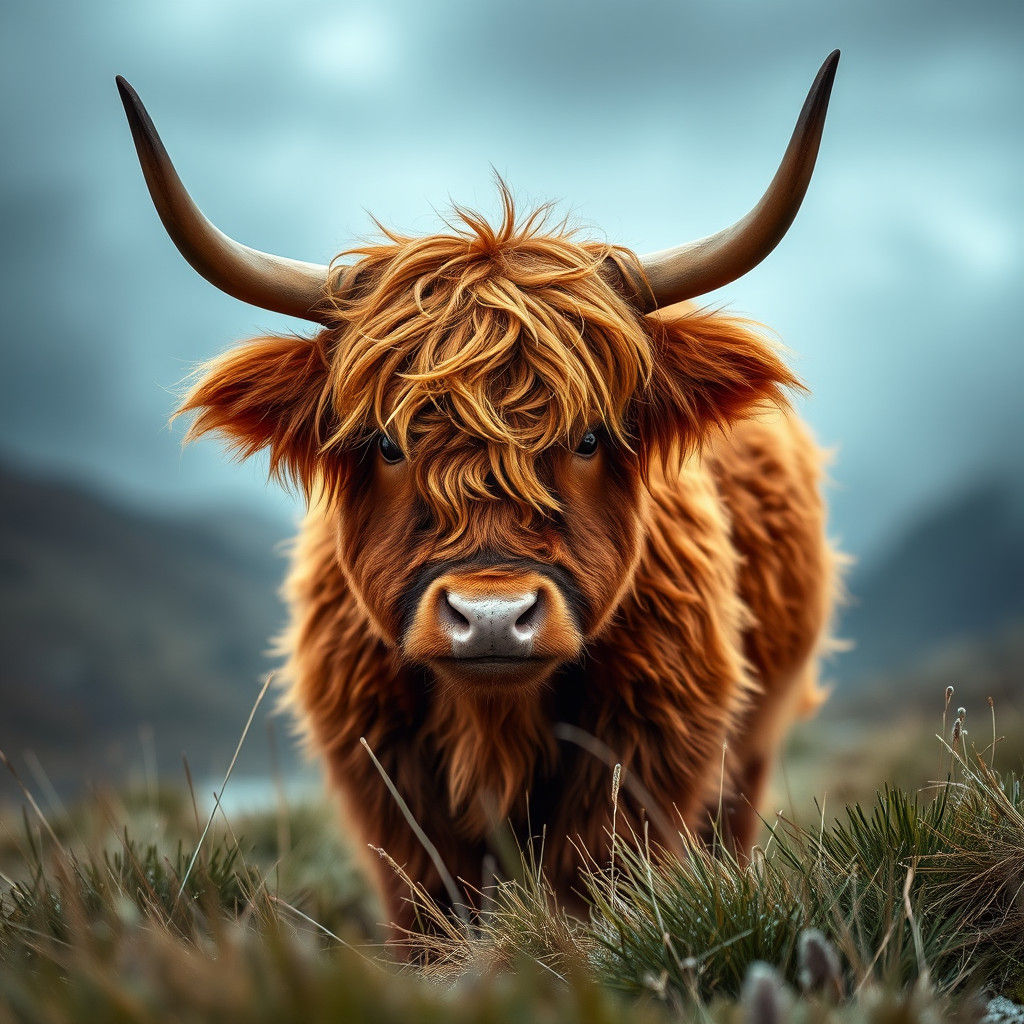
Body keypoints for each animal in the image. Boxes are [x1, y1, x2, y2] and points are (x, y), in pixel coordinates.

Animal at [117, 51, 842, 939]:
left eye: (589, 438)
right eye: (388, 444)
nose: (492, 616)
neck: (493, 724)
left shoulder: (647, 758)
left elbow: (589, 891)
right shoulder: (388, 786)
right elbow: (435, 912)